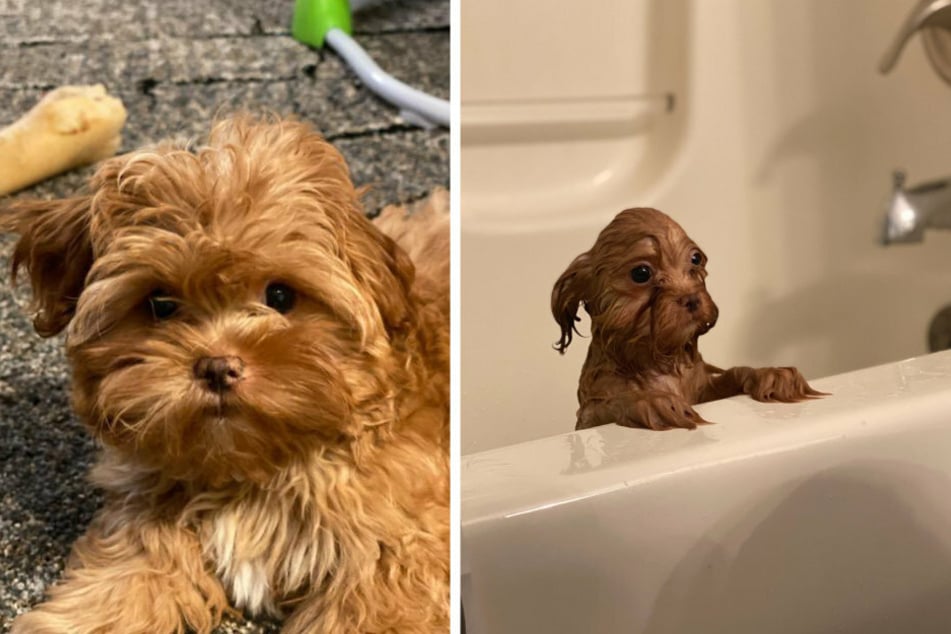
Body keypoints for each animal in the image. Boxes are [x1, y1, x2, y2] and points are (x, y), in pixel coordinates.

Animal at [3, 115, 450, 632]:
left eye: (280, 296)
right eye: (160, 303)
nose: (217, 367)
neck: (250, 472)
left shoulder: (395, 552)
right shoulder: (147, 518)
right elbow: (123, 582)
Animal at [556, 207, 820, 430]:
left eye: (695, 259)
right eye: (641, 273)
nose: (692, 299)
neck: (658, 360)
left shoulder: (703, 390)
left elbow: (733, 374)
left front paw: (771, 374)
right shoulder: (590, 415)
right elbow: (611, 403)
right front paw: (651, 401)